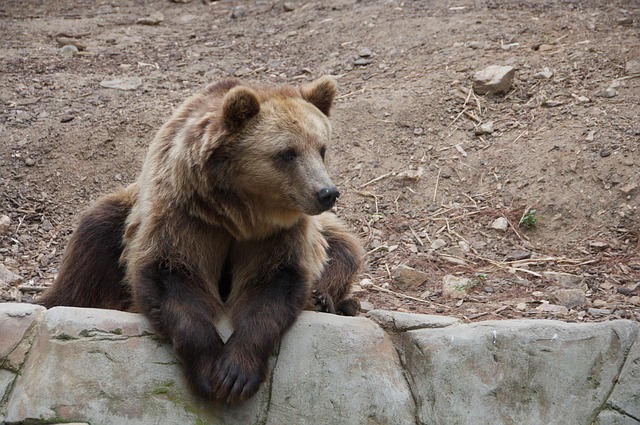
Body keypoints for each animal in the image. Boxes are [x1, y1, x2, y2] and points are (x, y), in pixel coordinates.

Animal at [38, 76, 364, 403]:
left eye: (321, 148)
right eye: (287, 153)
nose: (326, 192)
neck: (238, 215)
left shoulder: (278, 233)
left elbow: (273, 282)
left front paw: (236, 372)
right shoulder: (185, 215)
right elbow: (173, 273)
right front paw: (210, 370)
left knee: (344, 250)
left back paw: (328, 301)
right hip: (120, 218)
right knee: (91, 242)